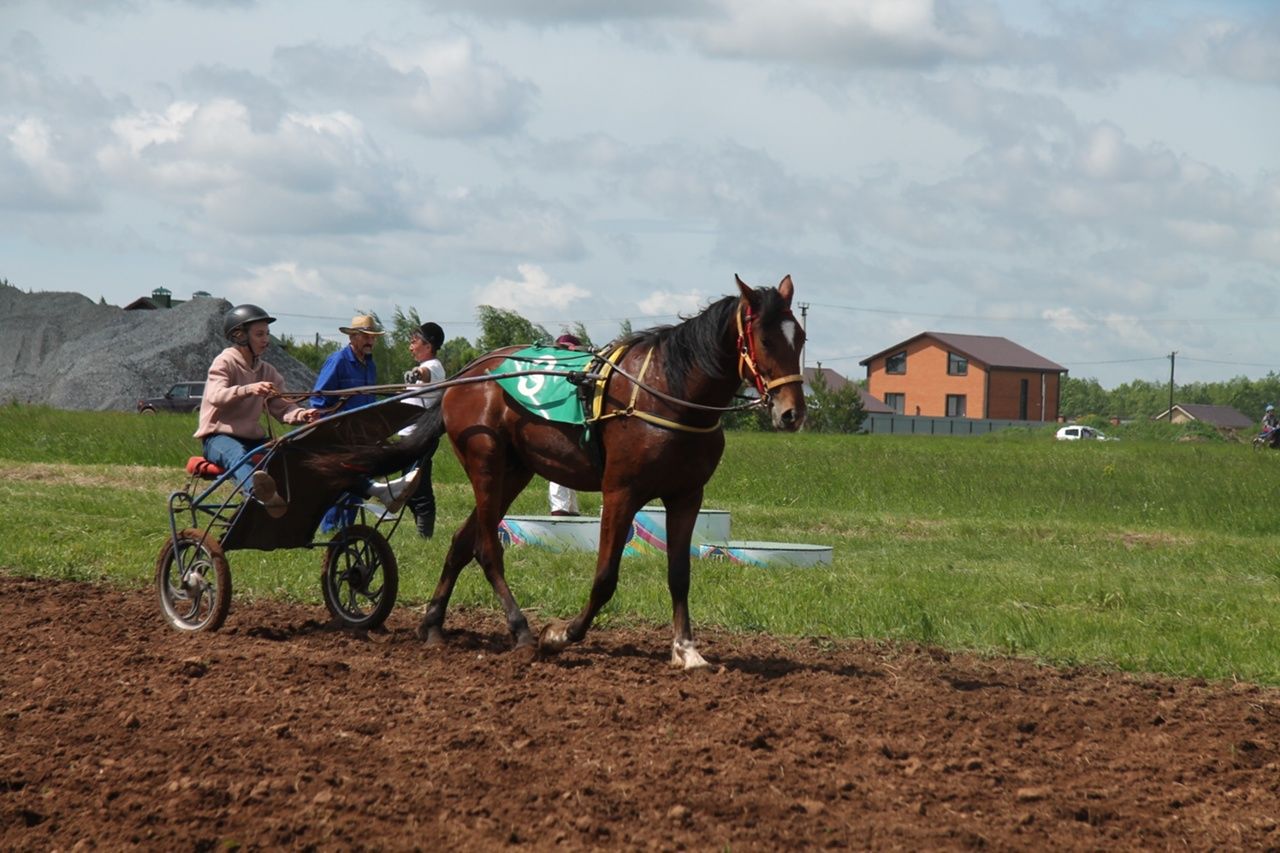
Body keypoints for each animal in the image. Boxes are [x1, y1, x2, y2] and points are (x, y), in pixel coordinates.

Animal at [314, 275, 803, 666]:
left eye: (799, 338)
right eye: (764, 339)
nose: (792, 413)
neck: (667, 390)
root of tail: (467, 374)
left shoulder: (686, 495)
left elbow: (679, 574)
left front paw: (686, 649)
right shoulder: (620, 492)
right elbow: (605, 578)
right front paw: (561, 634)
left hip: (515, 471)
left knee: (461, 543)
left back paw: (434, 624)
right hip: (486, 463)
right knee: (487, 548)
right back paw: (522, 631)